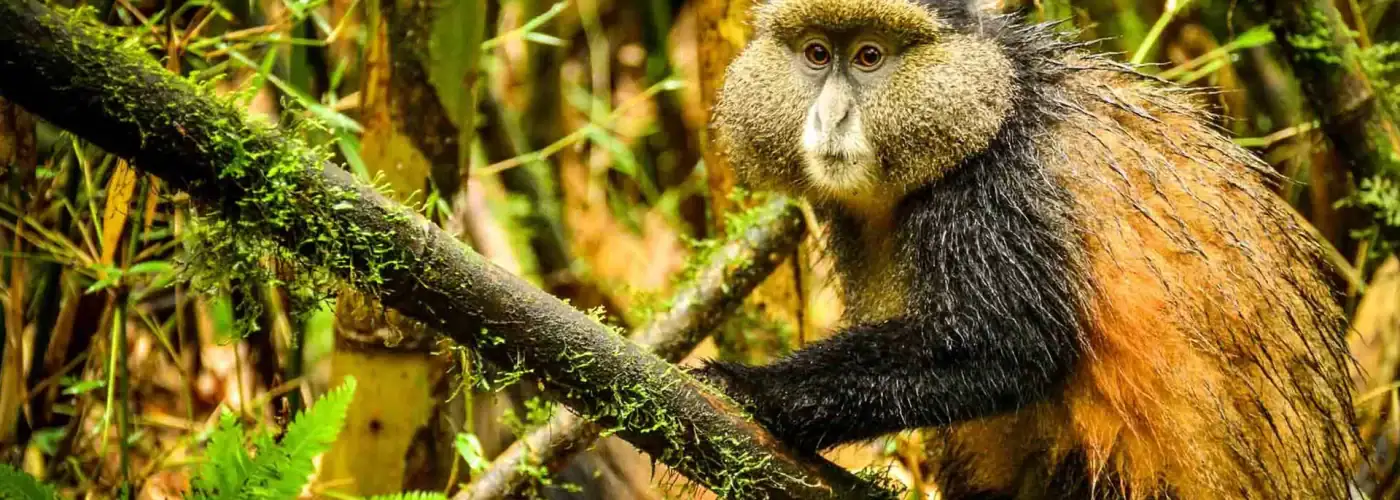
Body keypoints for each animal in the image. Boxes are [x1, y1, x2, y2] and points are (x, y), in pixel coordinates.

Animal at [696, 0, 1361, 498]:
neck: (995, 98)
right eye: (816, 54)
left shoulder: (996, 190)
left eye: (869, 57)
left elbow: (1010, 347)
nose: (830, 118)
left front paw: (754, 390)